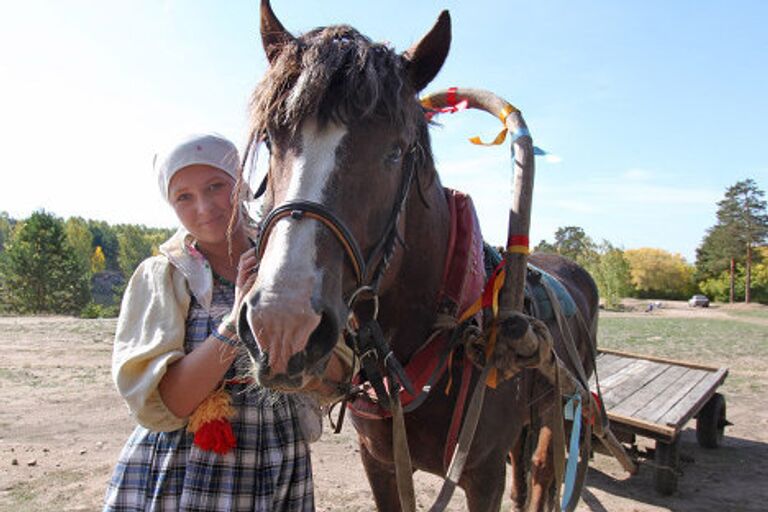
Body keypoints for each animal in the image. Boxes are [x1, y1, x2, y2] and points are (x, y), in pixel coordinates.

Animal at [238, 2, 600, 510]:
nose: (283, 324)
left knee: (545, 470)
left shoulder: (483, 474)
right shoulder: (379, 462)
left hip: (561, 404)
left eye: (396, 151)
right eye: (272, 139)